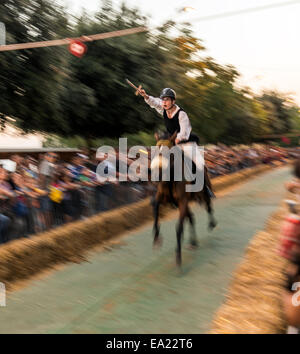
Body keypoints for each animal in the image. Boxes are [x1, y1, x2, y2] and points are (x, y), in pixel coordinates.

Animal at [149, 131, 216, 266]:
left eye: (168, 151)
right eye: (155, 150)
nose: (157, 173)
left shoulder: (183, 202)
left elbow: (179, 227)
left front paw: (178, 257)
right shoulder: (162, 199)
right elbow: (155, 210)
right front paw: (157, 238)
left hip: (203, 193)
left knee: (208, 206)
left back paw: (212, 224)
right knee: (191, 218)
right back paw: (193, 242)